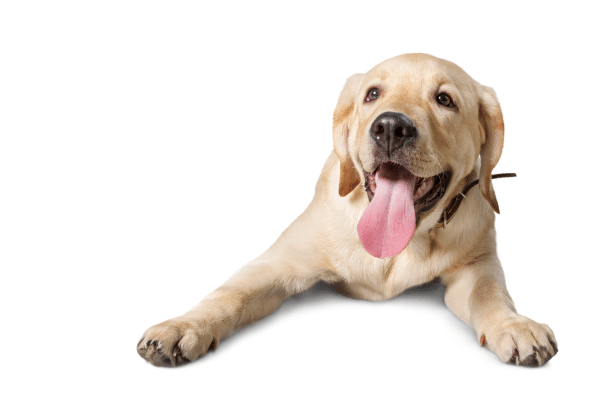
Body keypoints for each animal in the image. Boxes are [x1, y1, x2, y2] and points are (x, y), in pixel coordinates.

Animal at [137, 53, 557, 367]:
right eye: (372, 93)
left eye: (445, 100)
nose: (390, 127)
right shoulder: (278, 263)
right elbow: (229, 294)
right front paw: (184, 326)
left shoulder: (476, 266)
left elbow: (490, 294)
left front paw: (514, 325)